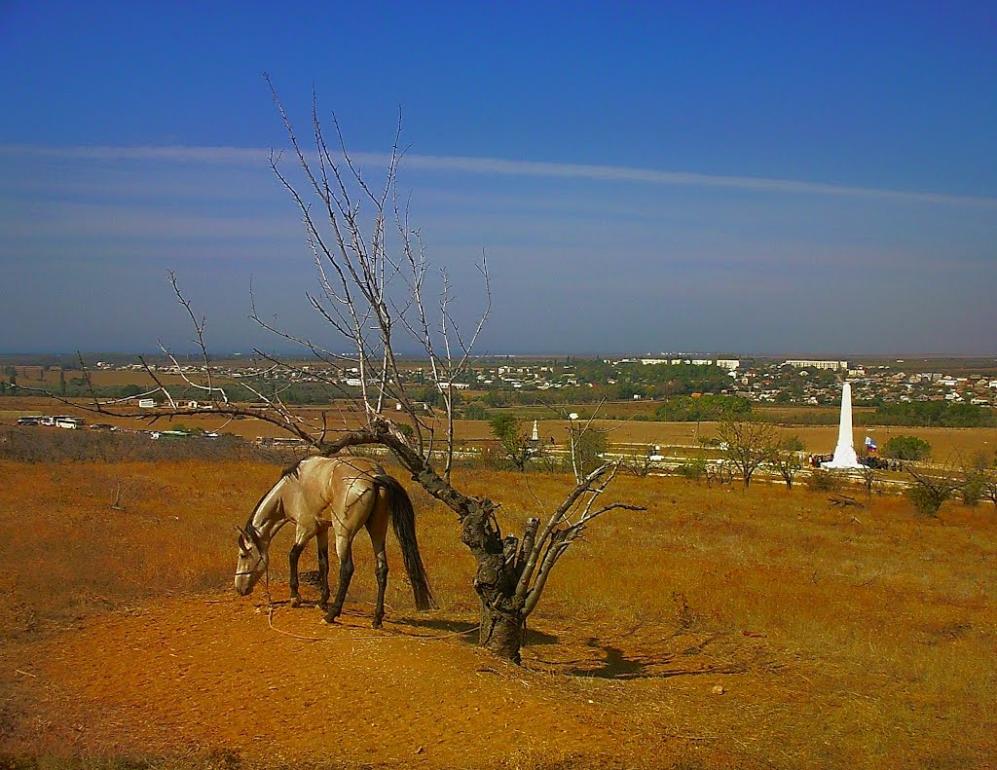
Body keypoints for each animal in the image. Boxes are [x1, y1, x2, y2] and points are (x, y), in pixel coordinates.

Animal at [235, 452, 438, 628]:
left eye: (243, 555)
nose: (239, 589)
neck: (291, 490)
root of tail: (374, 476)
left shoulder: (305, 528)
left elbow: (293, 556)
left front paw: (295, 597)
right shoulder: (322, 530)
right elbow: (323, 563)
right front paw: (322, 601)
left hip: (343, 536)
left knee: (346, 569)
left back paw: (332, 615)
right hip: (377, 530)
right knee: (381, 569)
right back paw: (376, 619)